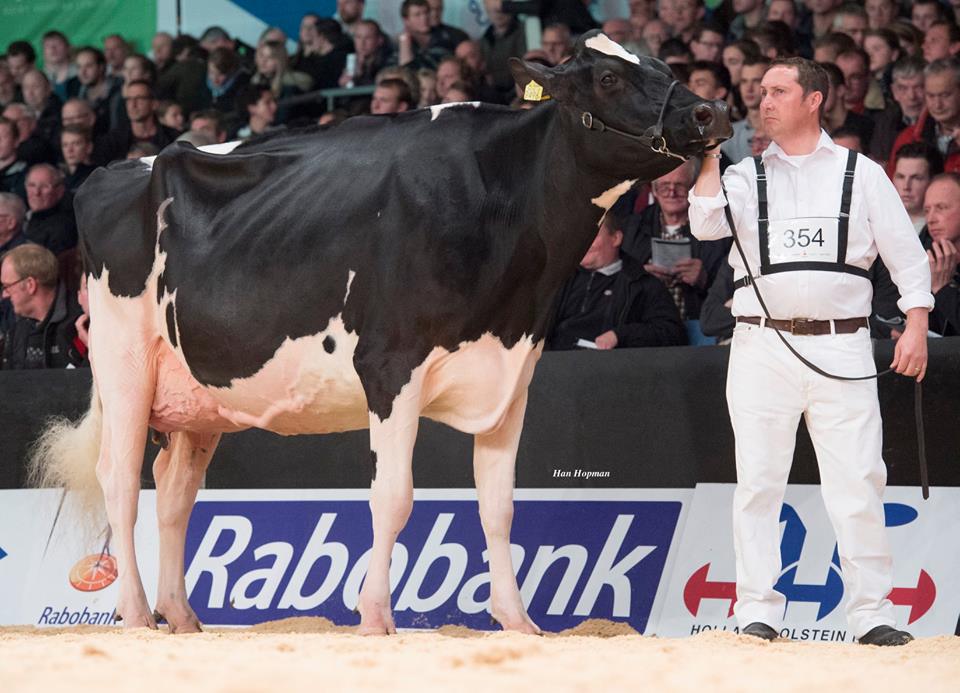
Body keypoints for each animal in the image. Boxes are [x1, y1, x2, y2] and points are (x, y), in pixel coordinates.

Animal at [31, 32, 730, 635]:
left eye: (663, 65)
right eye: (609, 77)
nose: (711, 112)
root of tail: (114, 168)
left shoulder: (512, 373)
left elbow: (499, 506)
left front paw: (518, 620)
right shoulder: (392, 367)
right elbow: (392, 497)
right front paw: (374, 617)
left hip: (197, 395)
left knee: (176, 492)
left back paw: (180, 617)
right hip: (124, 362)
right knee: (121, 479)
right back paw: (135, 613)